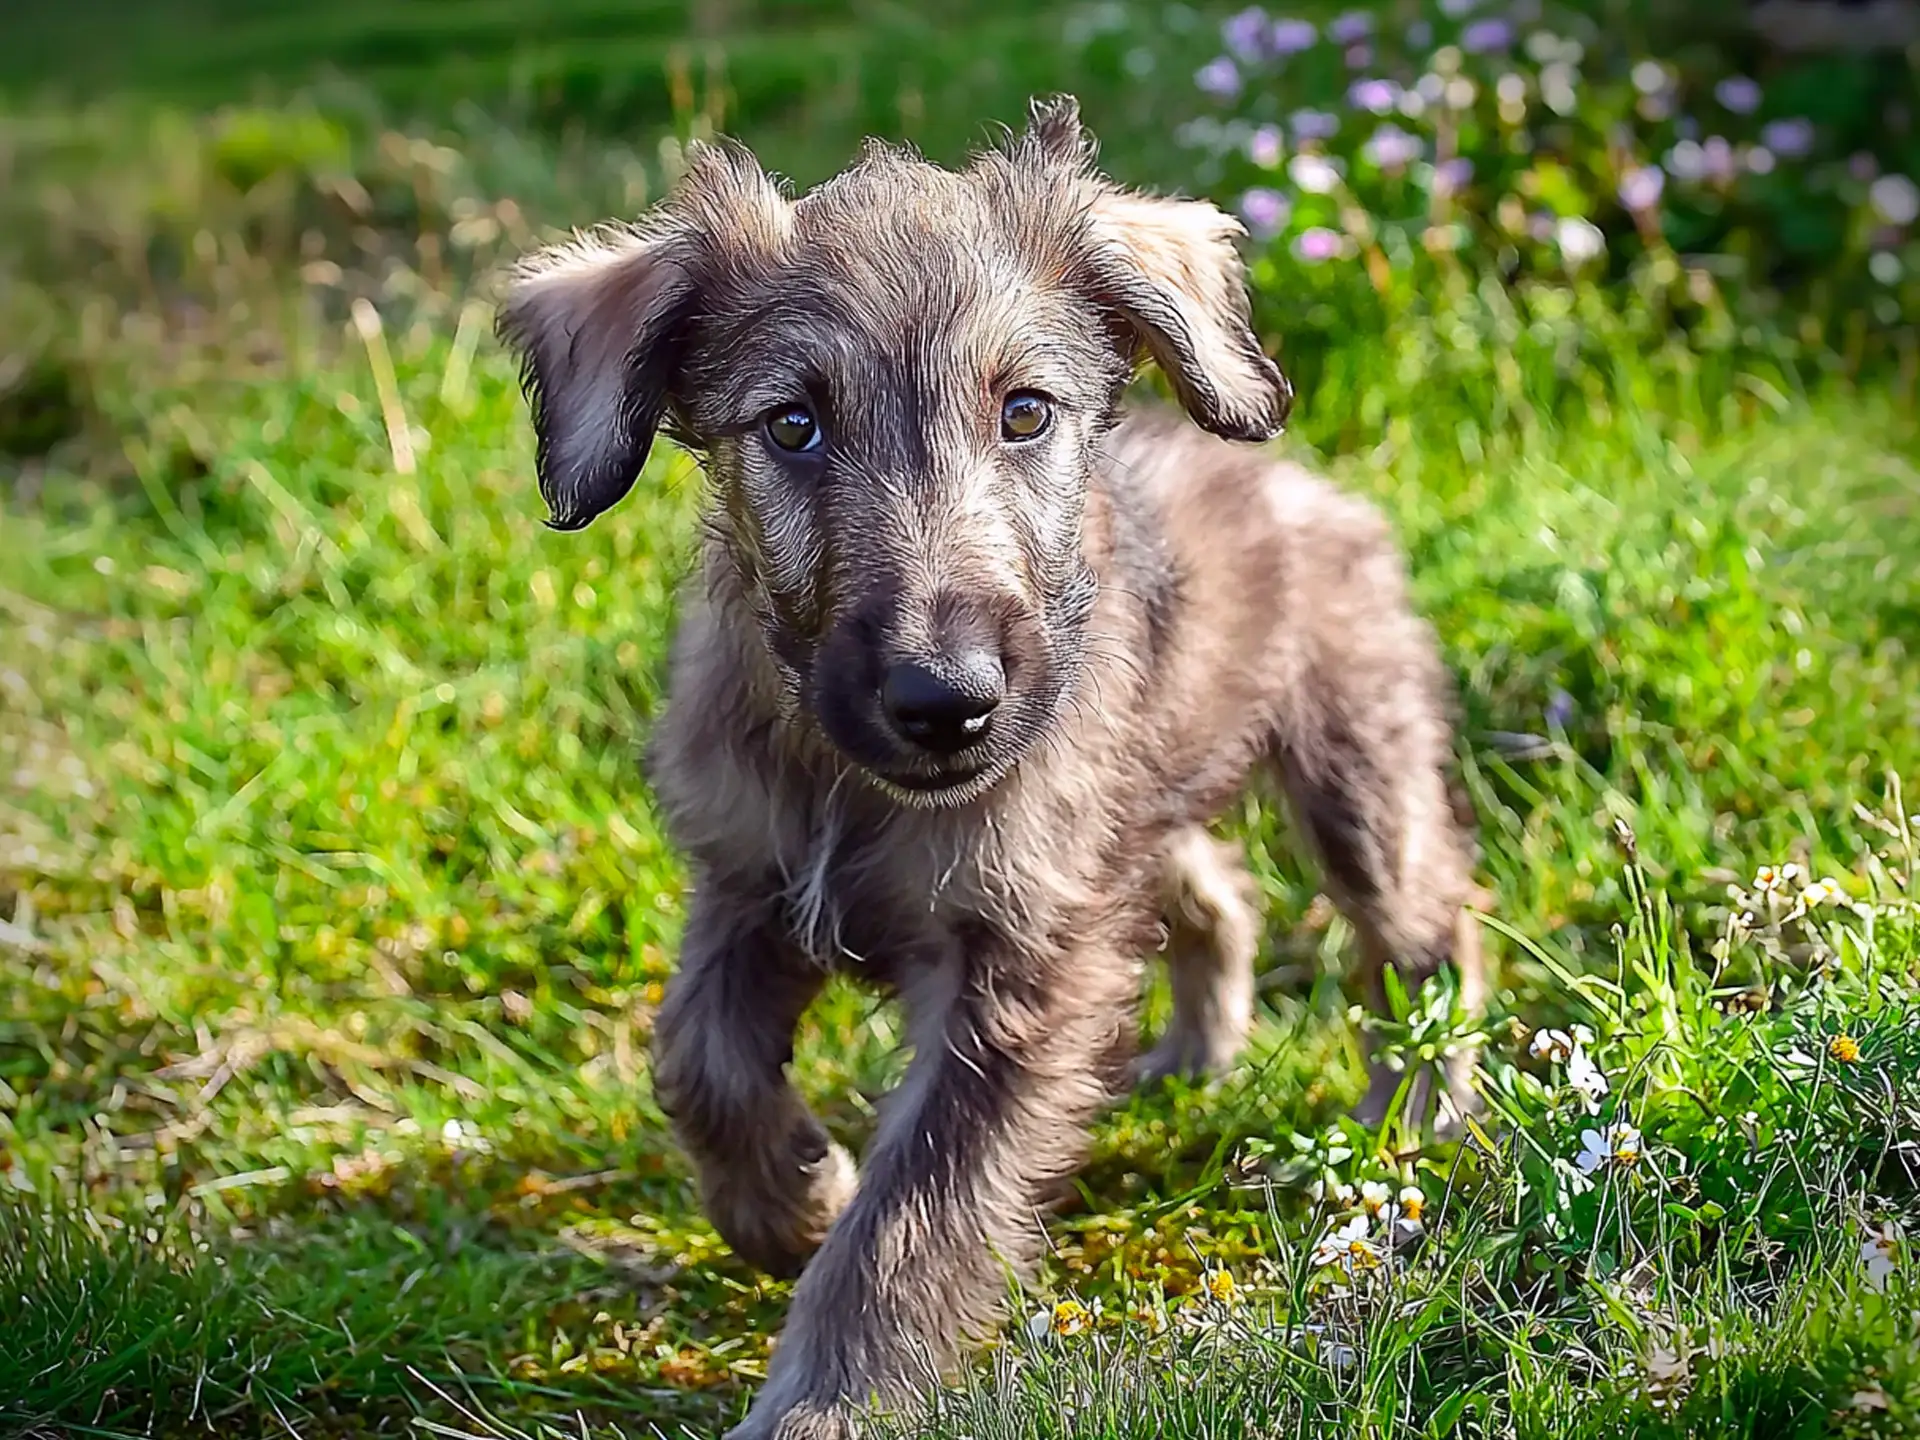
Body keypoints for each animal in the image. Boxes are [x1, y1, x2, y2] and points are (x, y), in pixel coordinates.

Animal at [495, 96, 1482, 1436]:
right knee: (1216, 894)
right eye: (793, 425)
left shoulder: (1017, 969)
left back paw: (1412, 1124)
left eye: (1025, 411)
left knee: (1425, 930)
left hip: (1355, 768)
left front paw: (827, 1401)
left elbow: (910, 1222)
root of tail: (1299, 478)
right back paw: (1192, 1054)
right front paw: (787, 1200)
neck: (844, 781)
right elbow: (700, 1061)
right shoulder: (748, 885)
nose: (946, 702)